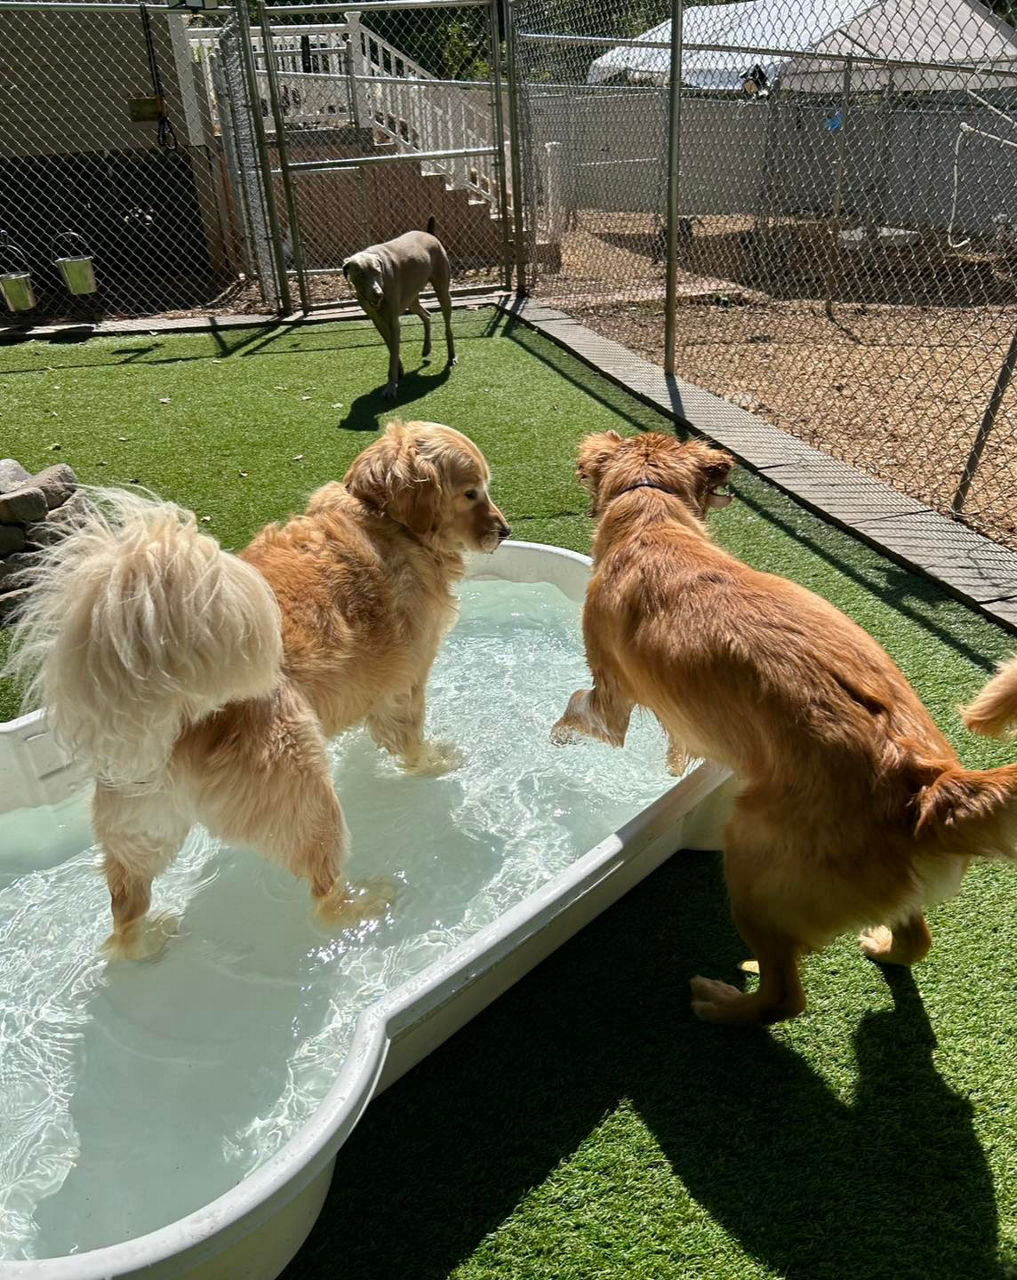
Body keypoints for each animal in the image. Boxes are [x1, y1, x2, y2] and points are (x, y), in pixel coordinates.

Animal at [9, 422, 509, 962]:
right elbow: (410, 739)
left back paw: (145, 941)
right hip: (308, 795)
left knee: (125, 910)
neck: (381, 516)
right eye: (472, 492)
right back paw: (365, 905)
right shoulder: (406, 680)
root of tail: (172, 697)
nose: (505, 531)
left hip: (140, 827)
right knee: (323, 896)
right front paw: (434, 763)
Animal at [342, 217, 457, 399]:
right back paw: (426, 348)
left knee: (447, 326)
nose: (378, 294)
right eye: (360, 274)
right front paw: (399, 370)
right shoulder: (377, 320)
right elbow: (391, 346)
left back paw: (451, 356)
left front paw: (391, 386)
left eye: (377, 271)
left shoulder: (393, 321)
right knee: (427, 314)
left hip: (442, 290)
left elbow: (393, 349)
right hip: (411, 299)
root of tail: (430, 234)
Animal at [557, 435, 1017, 1024]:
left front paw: (556, 737)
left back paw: (725, 1004)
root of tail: (925, 787)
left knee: (784, 994)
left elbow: (576, 709)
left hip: (752, 862)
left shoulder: (610, 698)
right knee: (916, 941)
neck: (651, 512)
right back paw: (882, 947)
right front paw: (672, 771)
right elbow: (677, 748)